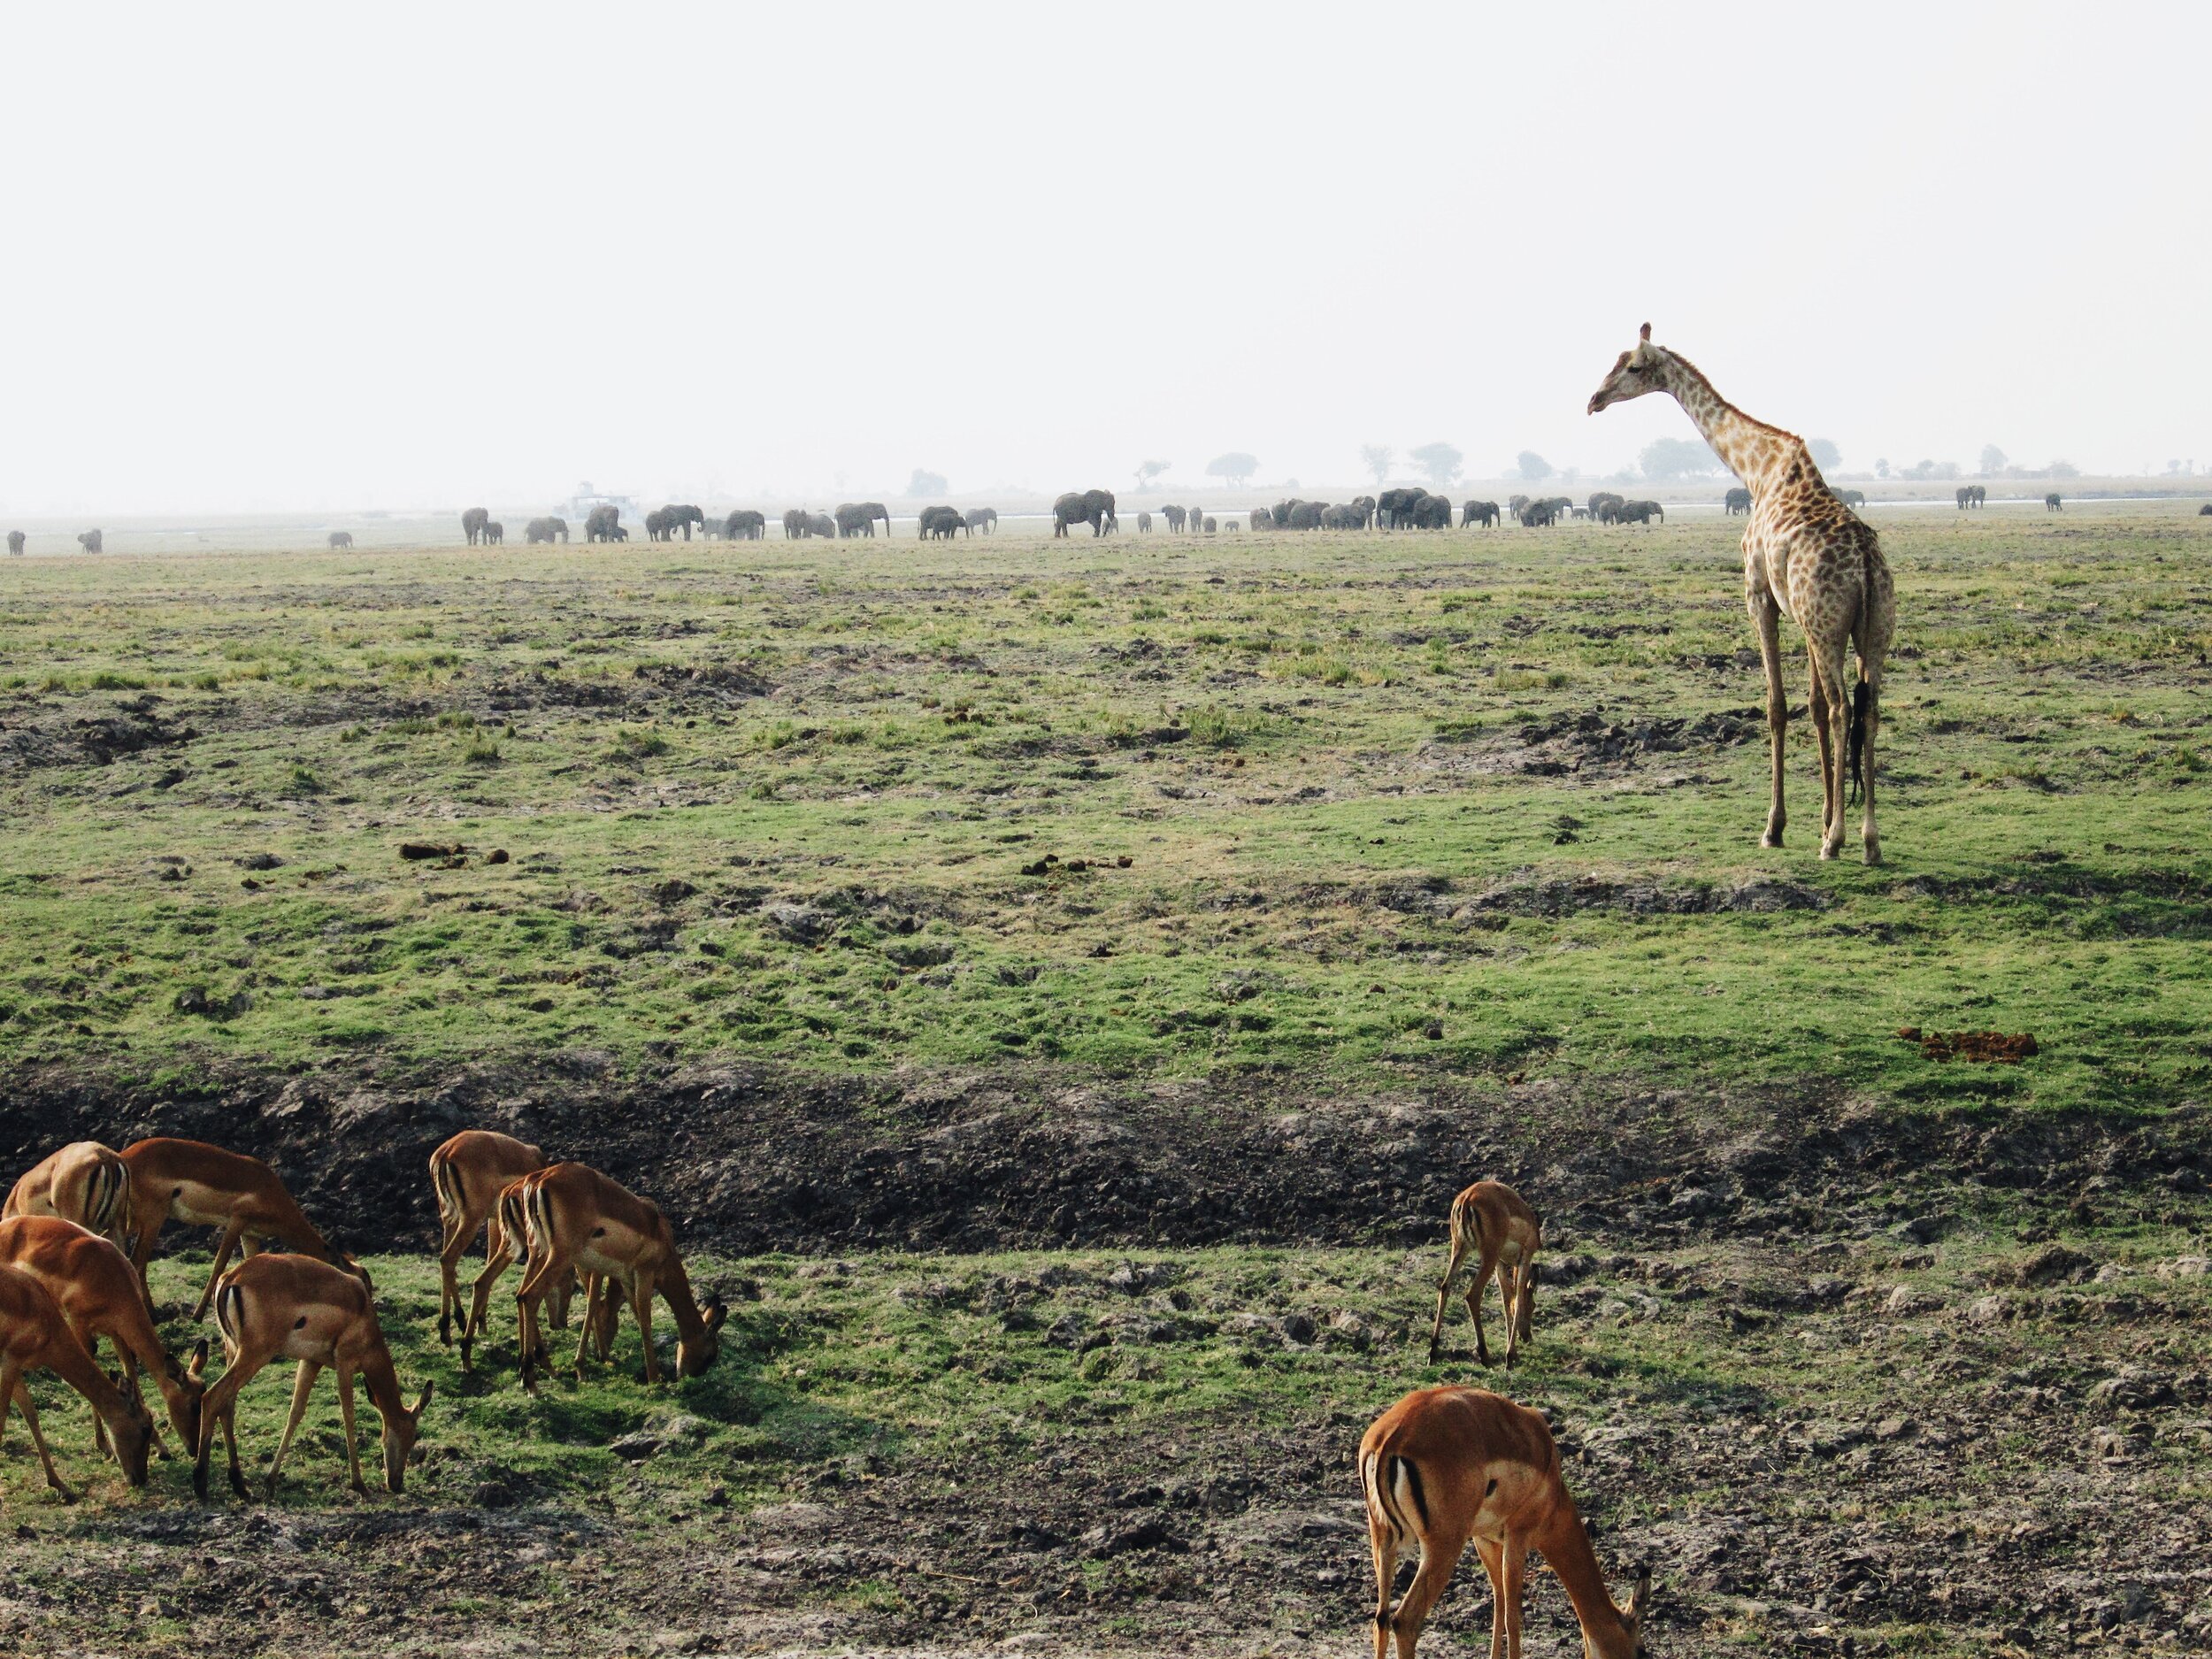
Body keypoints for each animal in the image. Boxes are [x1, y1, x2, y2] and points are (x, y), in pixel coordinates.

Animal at [1593, 327, 1902, 872]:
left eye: (1632, 366)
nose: (1594, 400)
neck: (1756, 470)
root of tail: (1867, 567)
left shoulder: (1759, 596)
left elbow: (1777, 705)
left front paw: (1776, 829)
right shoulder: (1803, 616)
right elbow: (1811, 706)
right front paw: (1820, 818)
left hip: (1829, 627)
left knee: (1845, 708)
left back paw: (1839, 841)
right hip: (1871, 629)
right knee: (1868, 710)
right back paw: (1868, 841)